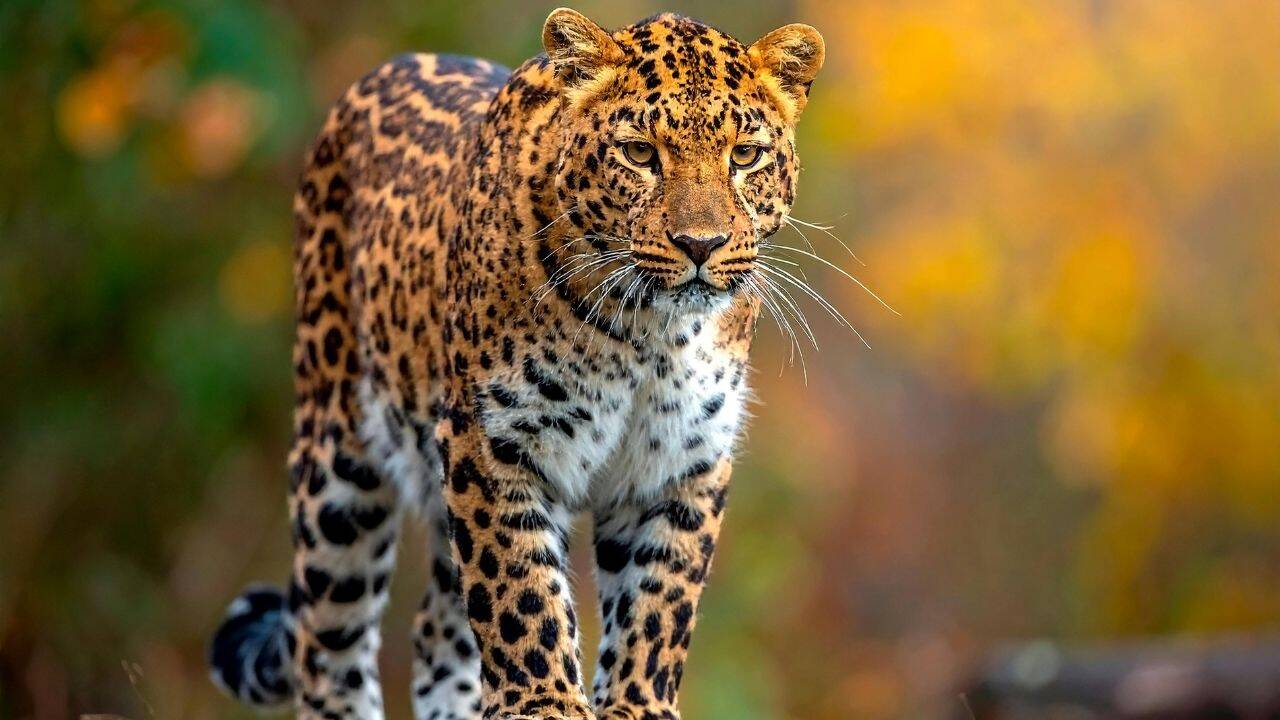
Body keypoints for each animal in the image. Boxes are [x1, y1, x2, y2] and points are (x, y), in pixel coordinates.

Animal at [209, 8, 825, 720]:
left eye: (745, 156)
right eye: (640, 154)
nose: (701, 245)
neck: (651, 333)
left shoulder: (681, 459)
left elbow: (660, 600)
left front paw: (637, 704)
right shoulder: (492, 440)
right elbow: (519, 591)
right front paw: (546, 701)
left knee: (435, 632)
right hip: (338, 457)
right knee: (328, 648)